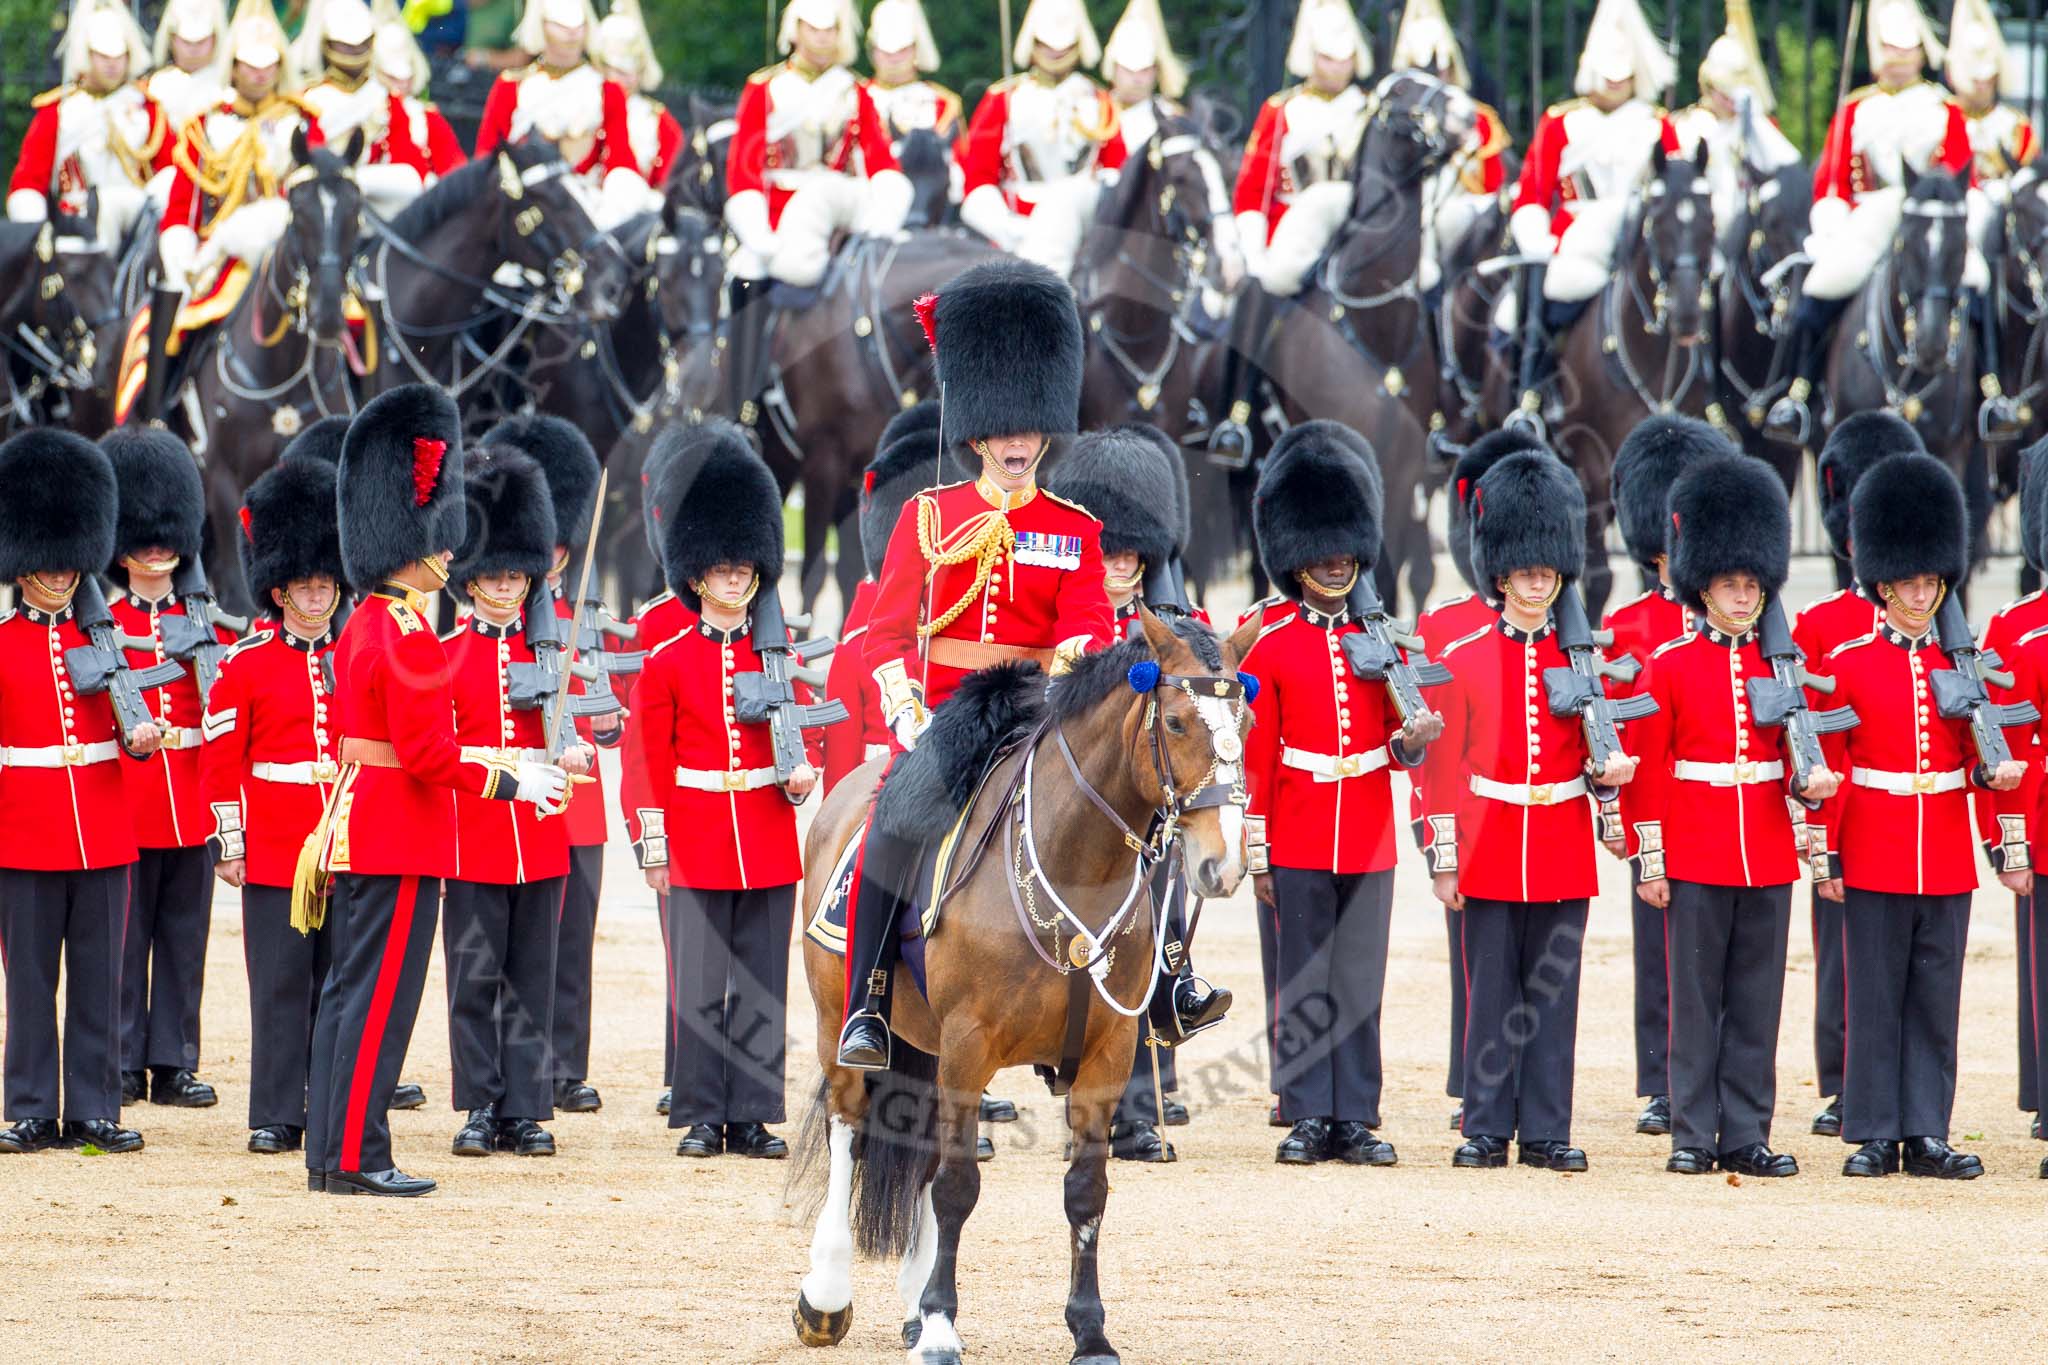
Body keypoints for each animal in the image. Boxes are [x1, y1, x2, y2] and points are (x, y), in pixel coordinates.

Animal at [790, 618, 1253, 1365]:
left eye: (1244, 720)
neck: (1076, 862)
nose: (1225, 861)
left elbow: (1085, 1191)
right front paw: (942, 1325)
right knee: (848, 1127)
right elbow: (956, 1187)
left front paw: (1090, 1331)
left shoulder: (1106, 1054)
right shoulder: (968, 1044)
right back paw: (828, 1295)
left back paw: (911, 1304)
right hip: (844, 1022)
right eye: (1177, 721)